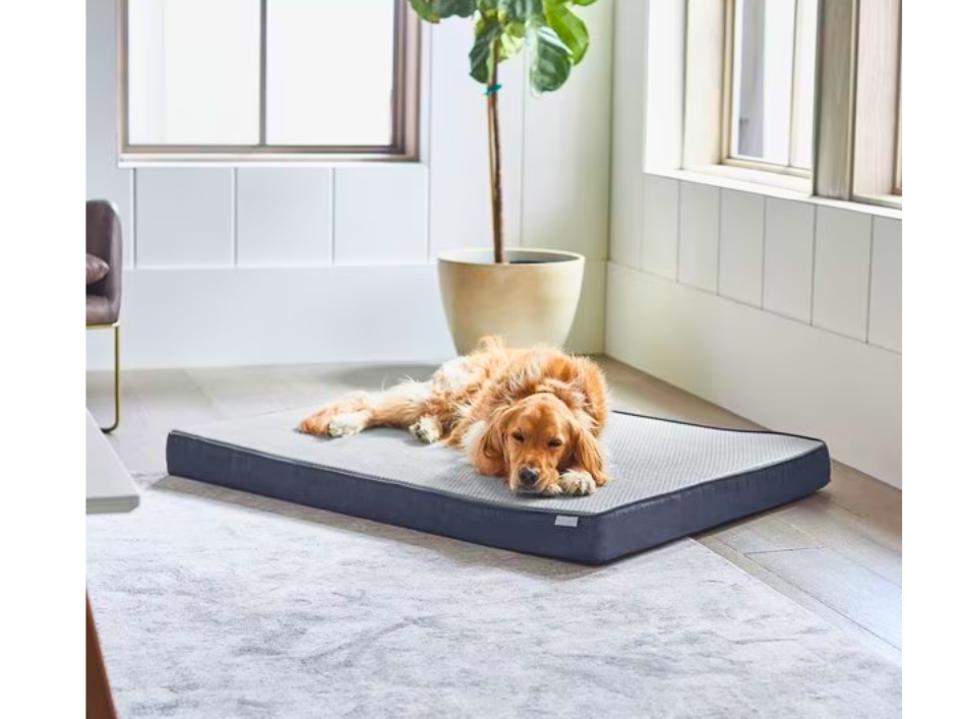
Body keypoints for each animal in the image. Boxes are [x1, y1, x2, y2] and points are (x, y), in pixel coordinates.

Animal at [298, 336, 608, 496]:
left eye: (555, 443)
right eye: (517, 437)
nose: (529, 476)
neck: (551, 388)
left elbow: (591, 460)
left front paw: (580, 476)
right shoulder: (480, 439)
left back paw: (426, 428)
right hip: (447, 394)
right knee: (373, 403)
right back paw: (343, 423)